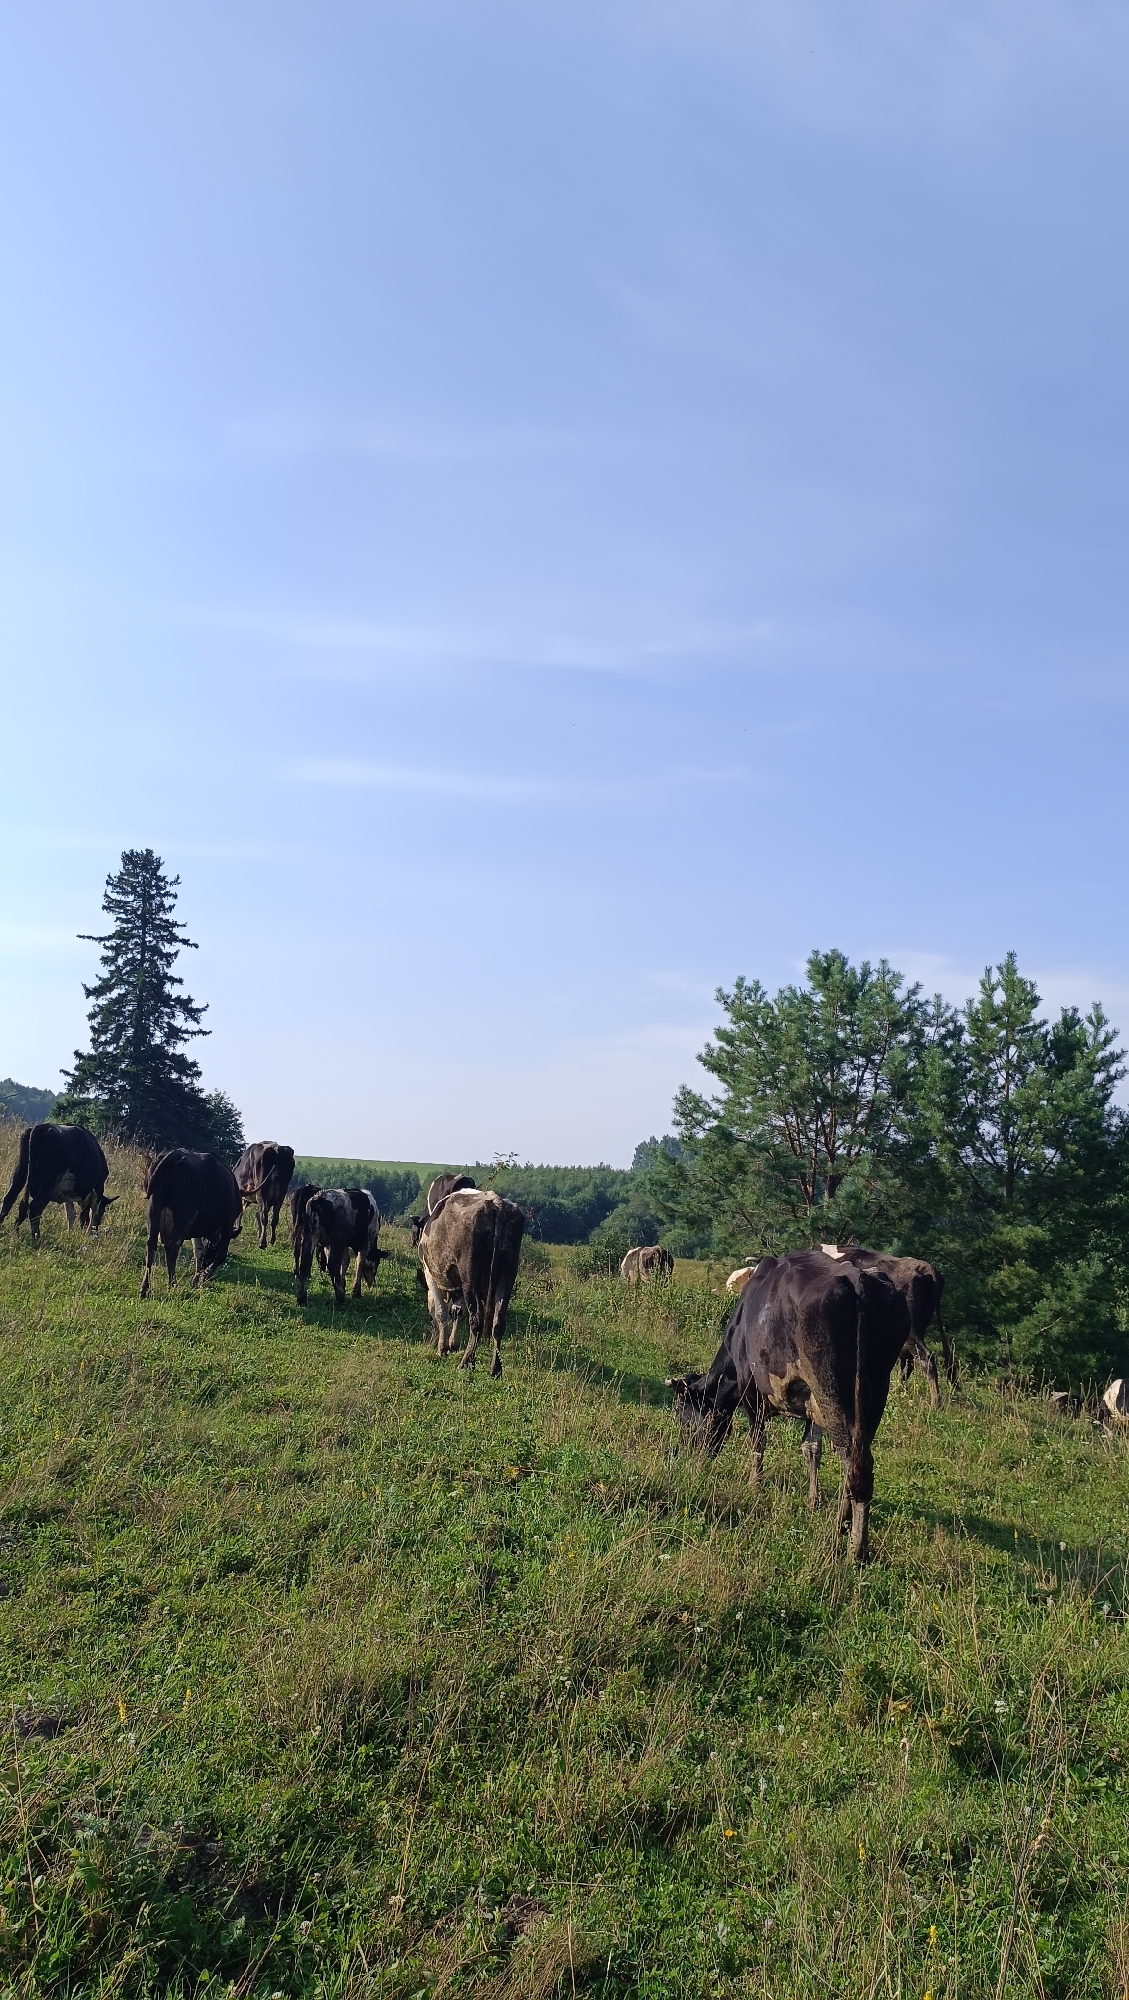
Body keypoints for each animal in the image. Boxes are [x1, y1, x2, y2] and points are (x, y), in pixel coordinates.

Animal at [139, 1149, 243, 1298]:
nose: (206, 1264)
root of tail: (175, 1154)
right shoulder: (228, 1224)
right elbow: (221, 1254)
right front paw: (204, 1276)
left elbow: (198, 1251)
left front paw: (197, 1277)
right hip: (184, 1217)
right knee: (172, 1247)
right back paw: (173, 1284)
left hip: (154, 1207)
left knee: (151, 1245)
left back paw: (144, 1288)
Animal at [416, 1187, 524, 1377]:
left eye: (429, 1317)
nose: (431, 1340)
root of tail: (497, 1202)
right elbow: (456, 1311)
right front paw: (452, 1344)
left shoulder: (431, 1275)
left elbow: (442, 1312)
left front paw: (443, 1348)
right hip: (507, 1275)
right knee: (498, 1322)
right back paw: (496, 1369)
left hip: (469, 1275)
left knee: (476, 1320)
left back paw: (466, 1362)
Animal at [666, 1249, 910, 1563]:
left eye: (683, 1419)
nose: (684, 1458)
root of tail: (859, 1281)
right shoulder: (812, 1407)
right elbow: (811, 1449)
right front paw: (812, 1501)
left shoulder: (752, 1391)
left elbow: (757, 1441)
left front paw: (754, 1485)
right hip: (875, 1391)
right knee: (856, 1459)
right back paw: (842, 1526)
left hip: (832, 1387)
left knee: (855, 1464)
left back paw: (853, 1547)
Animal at [821, 1244, 950, 1402]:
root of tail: (925, 1267)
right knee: (908, 1364)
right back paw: (898, 1393)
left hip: (912, 1332)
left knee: (926, 1359)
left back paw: (935, 1403)